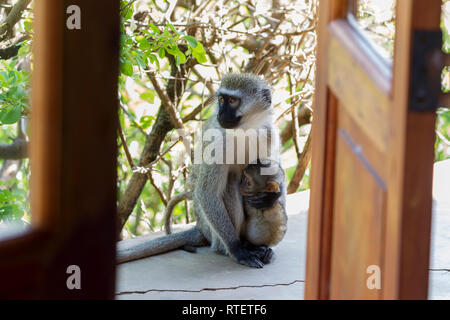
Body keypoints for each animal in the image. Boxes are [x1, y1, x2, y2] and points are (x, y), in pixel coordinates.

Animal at [116, 73, 280, 268]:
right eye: (221, 99)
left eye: (232, 100)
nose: (220, 113)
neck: (244, 131)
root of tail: (200, 227)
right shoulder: (217, 144)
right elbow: (207, 193)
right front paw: (237, 249)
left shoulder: (270, 135)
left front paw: (271, 196)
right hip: (212, 231)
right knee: (229, 183)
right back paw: (238, 247)